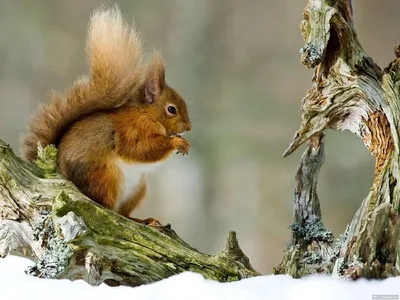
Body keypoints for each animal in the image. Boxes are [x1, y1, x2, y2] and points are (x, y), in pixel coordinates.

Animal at [21, 5, 191, 225]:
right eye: (171, 109)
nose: (188, 128)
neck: (147, 114)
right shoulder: (132, 129)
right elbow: (142, 149)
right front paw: (177, 142)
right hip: (105, 176)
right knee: (106, 206)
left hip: (137, 189)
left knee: (123, 212)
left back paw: (144, 221)